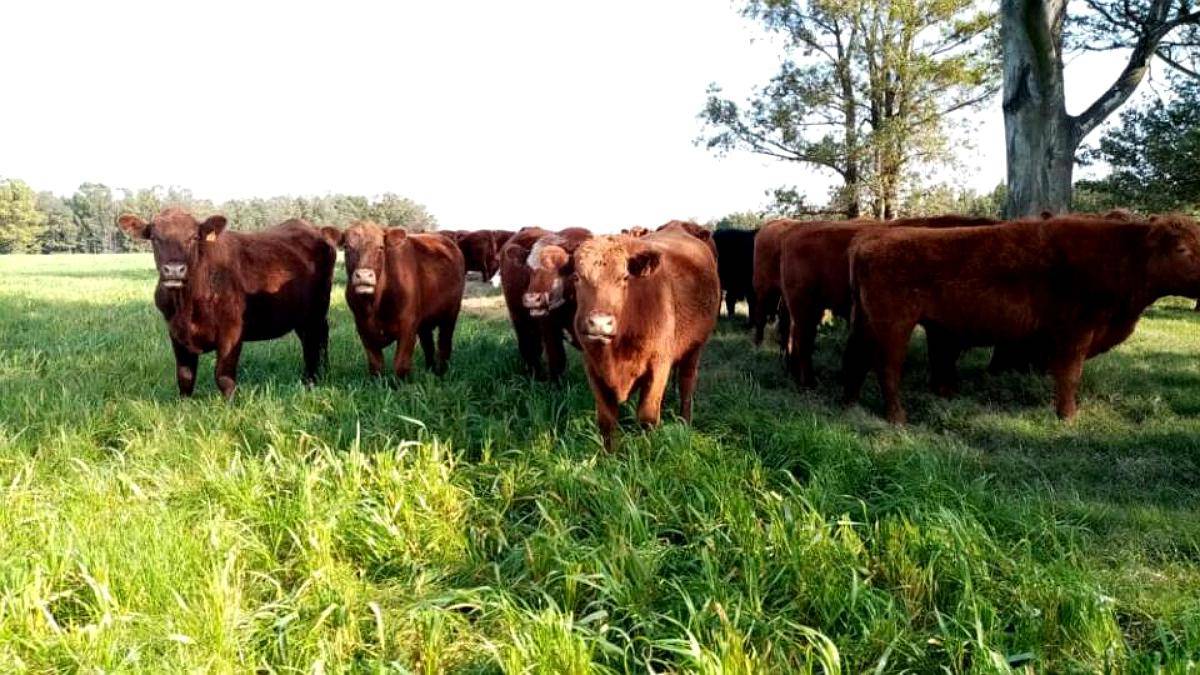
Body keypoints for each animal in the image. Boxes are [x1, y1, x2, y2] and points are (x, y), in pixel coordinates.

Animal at [117, 208, 335, 399]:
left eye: (194, 237)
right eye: (155, 238)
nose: (174, 270)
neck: (186, 306)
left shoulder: (232, 332)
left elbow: (223, 377)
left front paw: (230, 407)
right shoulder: (175, 333)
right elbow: (185, 376)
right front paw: (183, 407)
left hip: (317, 310)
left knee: (318, 340)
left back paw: (313, 379)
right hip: (301, 314)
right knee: (311, 340)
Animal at [323, 220, 465, 378]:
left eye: (380, 247)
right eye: (347, 247)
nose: (364, 275)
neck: (374, 305)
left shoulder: (408, 326)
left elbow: (401, 364)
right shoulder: (362, 327)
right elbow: (376, 365)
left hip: (451, 314)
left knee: (444, 344)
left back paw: (441, 373)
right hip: (425, 322)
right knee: (428, 345)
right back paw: (430, 370)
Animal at [500, 227, 592, 379]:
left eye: (562, 268)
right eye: (528, 269)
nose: (532, 299)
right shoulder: (549, 328)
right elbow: (557, 360)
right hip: (519, 318)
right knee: (528, 347)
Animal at [572, 229, 720, 449]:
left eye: (624, 277)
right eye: (577, 277)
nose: (599, 323)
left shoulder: (658, 364)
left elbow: (647, 417)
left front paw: (647, 451)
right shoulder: (593, 368)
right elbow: (607, 420)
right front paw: (610, 455)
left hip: (694, 349)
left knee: (686, 385)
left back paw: (685, 423)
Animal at [842, 214, 1200, 424]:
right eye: (1181, 249)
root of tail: (868, 239)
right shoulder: (1074, 332)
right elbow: (1069, 376)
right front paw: (1068, 417)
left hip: (868, 323)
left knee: (857, 357)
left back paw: (852, 403)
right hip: (894, 325)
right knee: (887, 367)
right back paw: (897, 418)